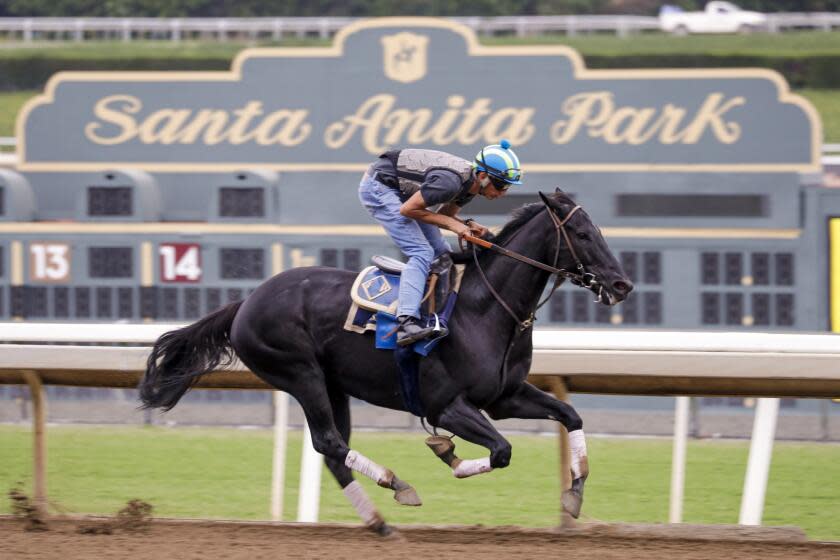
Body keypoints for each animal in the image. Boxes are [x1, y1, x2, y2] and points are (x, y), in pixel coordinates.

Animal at [141, 190, 632, 536]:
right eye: (583, 235)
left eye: (598, 231)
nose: (621, 284)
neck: (484, 308)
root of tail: (245, 303)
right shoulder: (447, 405)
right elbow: (501, 450)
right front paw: (448, 453)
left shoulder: (504, 397)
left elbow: (569, 414)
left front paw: (574, 495)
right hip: (301, 374)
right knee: (330, 443)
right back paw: (397, 485)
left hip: (333, 385)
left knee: (333, 451)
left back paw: (379, 523)